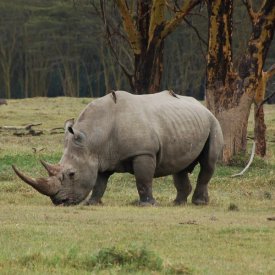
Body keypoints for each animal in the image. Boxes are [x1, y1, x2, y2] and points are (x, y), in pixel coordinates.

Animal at [12, 91, 224, 207]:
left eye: (72, 174)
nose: (59, 202)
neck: (94, 137)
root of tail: (202, 106)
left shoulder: (143, 153)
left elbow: (143, 180)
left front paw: (146, 205)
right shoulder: (100, 157)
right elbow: (99, 183)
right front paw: (92, 203)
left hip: (213, 122)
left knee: (208, 164)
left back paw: (198, 203)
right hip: (184, 123)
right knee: (179, 167)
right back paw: (177, 203)